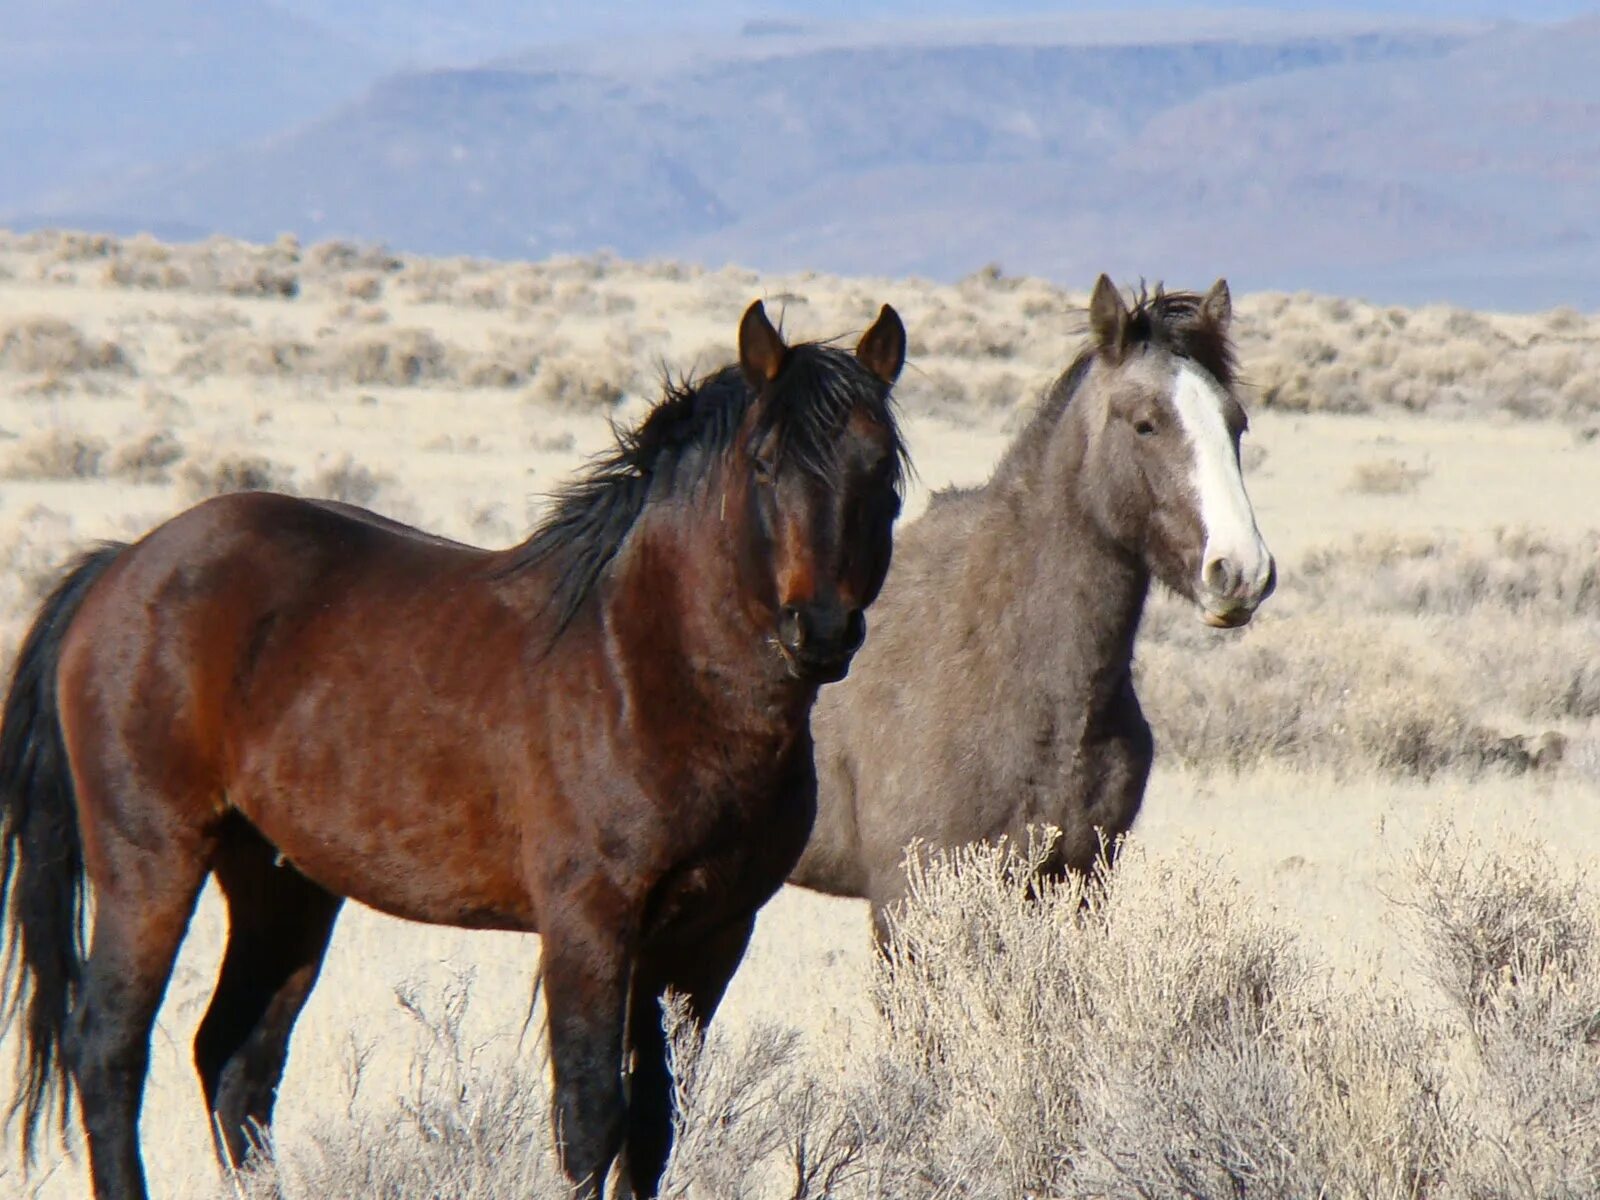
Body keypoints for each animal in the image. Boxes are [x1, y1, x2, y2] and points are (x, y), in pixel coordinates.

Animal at [0, 299, 902, 1196]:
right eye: (764, 462)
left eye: (882, 471)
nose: (822, 630)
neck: (648, 667)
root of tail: (123, 565)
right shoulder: (588, 926)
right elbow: (590, 1119)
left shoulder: (711, 936)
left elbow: (653, 1124)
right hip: (152, 861)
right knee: (109, 1049)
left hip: (281, 885)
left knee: (236, 1064)